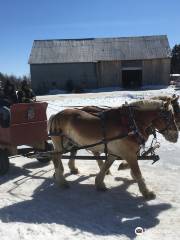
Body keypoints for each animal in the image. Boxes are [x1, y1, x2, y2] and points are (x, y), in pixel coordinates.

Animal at [49, 98, 179, 200]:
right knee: (56, 156)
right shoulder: (129, 154)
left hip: (69, 143)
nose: (176, 137)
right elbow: (137, 173)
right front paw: (147, 192)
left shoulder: (114, 153)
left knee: (61, 155)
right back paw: (62, 181)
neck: (131, 123)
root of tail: (56, 115)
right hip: (61, 144)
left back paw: (62, 173)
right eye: (169, 117)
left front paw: (100, 183)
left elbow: (106, 165)